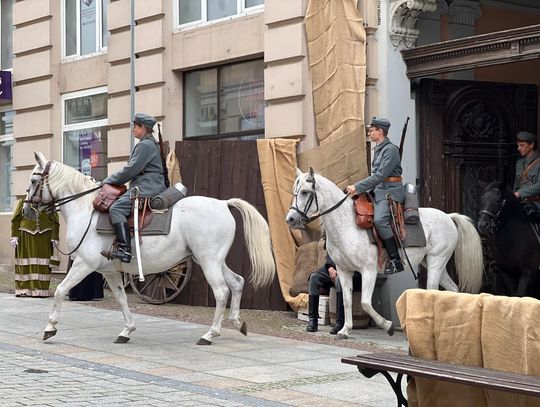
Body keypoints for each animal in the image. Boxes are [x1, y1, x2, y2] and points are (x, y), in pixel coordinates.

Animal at [24, 152, 274, 344]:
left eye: (34, 181)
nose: (26, 209)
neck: (87, 210)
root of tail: (223, 204)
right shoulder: (109, 271)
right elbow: (122, 299)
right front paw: (127, 330)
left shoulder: (84, 264)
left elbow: (59, 290)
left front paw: (50, 328)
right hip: (212, 260)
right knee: (237, 282)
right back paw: (237, 322)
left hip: (209, 260)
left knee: (221, 291)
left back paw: (210, 334)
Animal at [284, 169, 484, 338]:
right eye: (295, 192)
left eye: (305, 192)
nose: (290, 219)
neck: (347, 223)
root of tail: (448, 217)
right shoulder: (343, 271)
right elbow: (347, 300)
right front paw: (345, 329)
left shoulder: (368, 271)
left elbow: (365, 302)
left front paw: (387, 326)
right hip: (434, 264)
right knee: (453, 290)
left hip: (437, 261)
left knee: (433, 292)